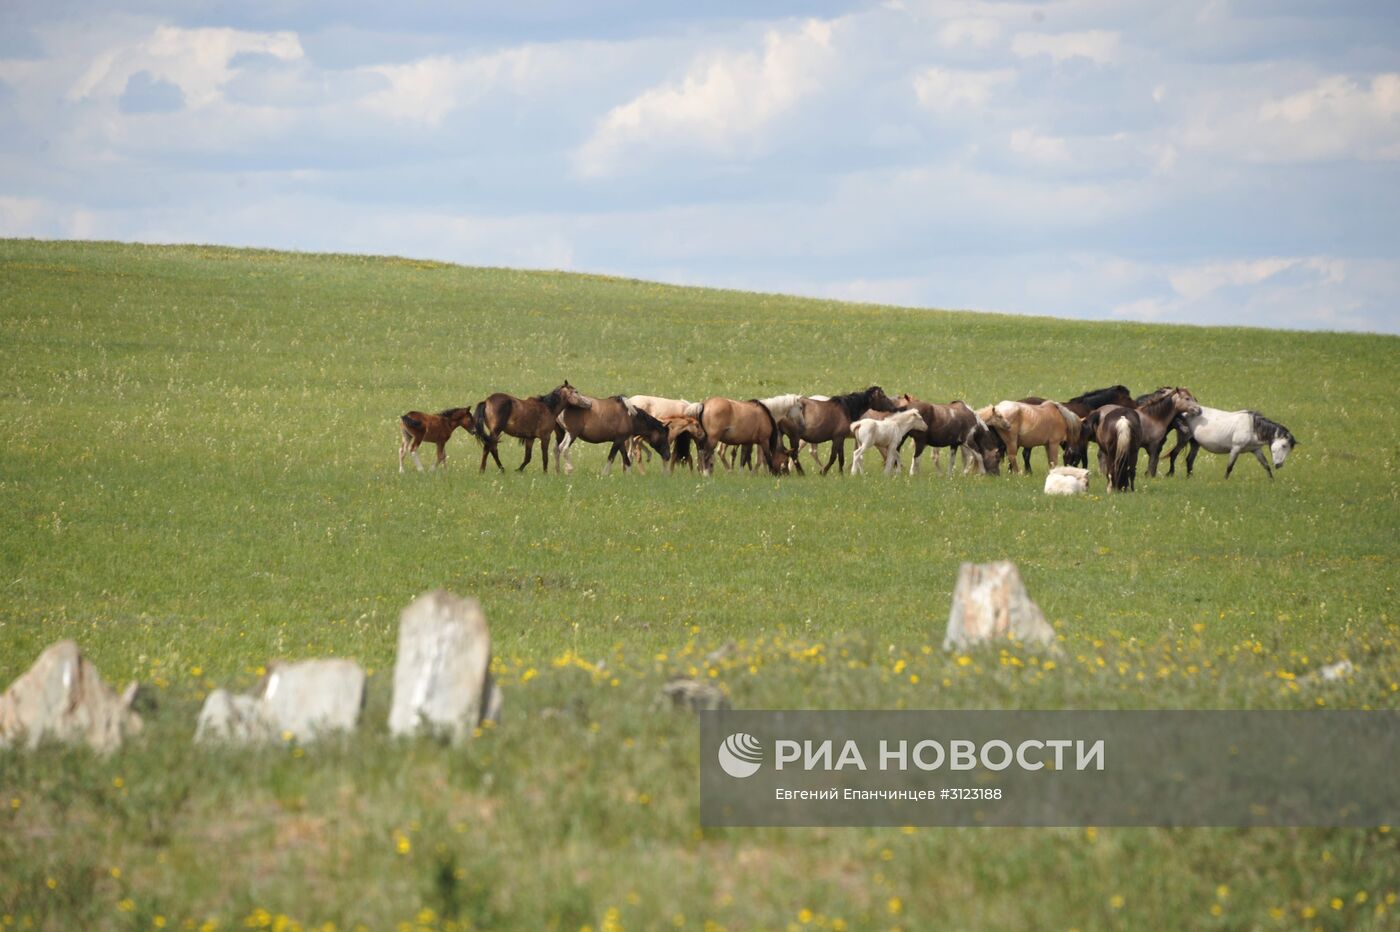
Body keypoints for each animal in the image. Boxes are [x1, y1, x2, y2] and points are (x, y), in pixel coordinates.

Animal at [1164, 405, 1293, 478]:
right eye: (1283, 445)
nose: (1279, 465)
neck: (1252, 427)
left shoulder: (1256, 450)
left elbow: (1266, 465)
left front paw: (1272, 482)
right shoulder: (1236, 448)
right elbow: (1229, 467)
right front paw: (1225, 481)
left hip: (1195, 443)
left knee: (1189, 459)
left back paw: (1190, 477)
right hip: (1183, 439)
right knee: (1174, 454)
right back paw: (1170, 474)